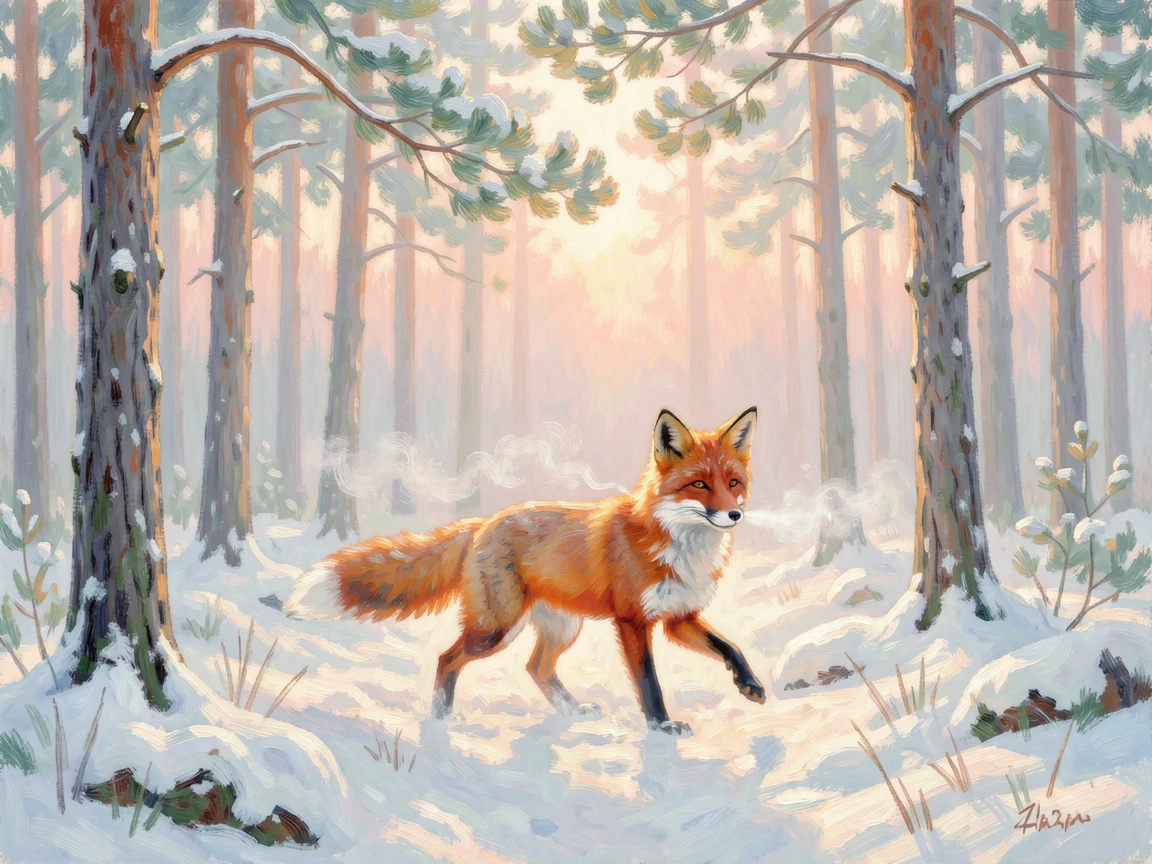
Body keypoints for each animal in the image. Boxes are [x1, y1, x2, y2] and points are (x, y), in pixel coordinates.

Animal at [285, 407, 766, 735]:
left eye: (733, 483)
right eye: (699, 484)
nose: (733, 515)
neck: (679, 544)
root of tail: (482, 523)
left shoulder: (679, 618)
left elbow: (730, 647)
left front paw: (751, 686)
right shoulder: (633, 620)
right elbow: (650, 682)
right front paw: (661, 728)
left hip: (561, 626)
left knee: (537, 668)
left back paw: (571, 711)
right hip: (497, 627)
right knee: (447, 658)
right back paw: (441, 720)